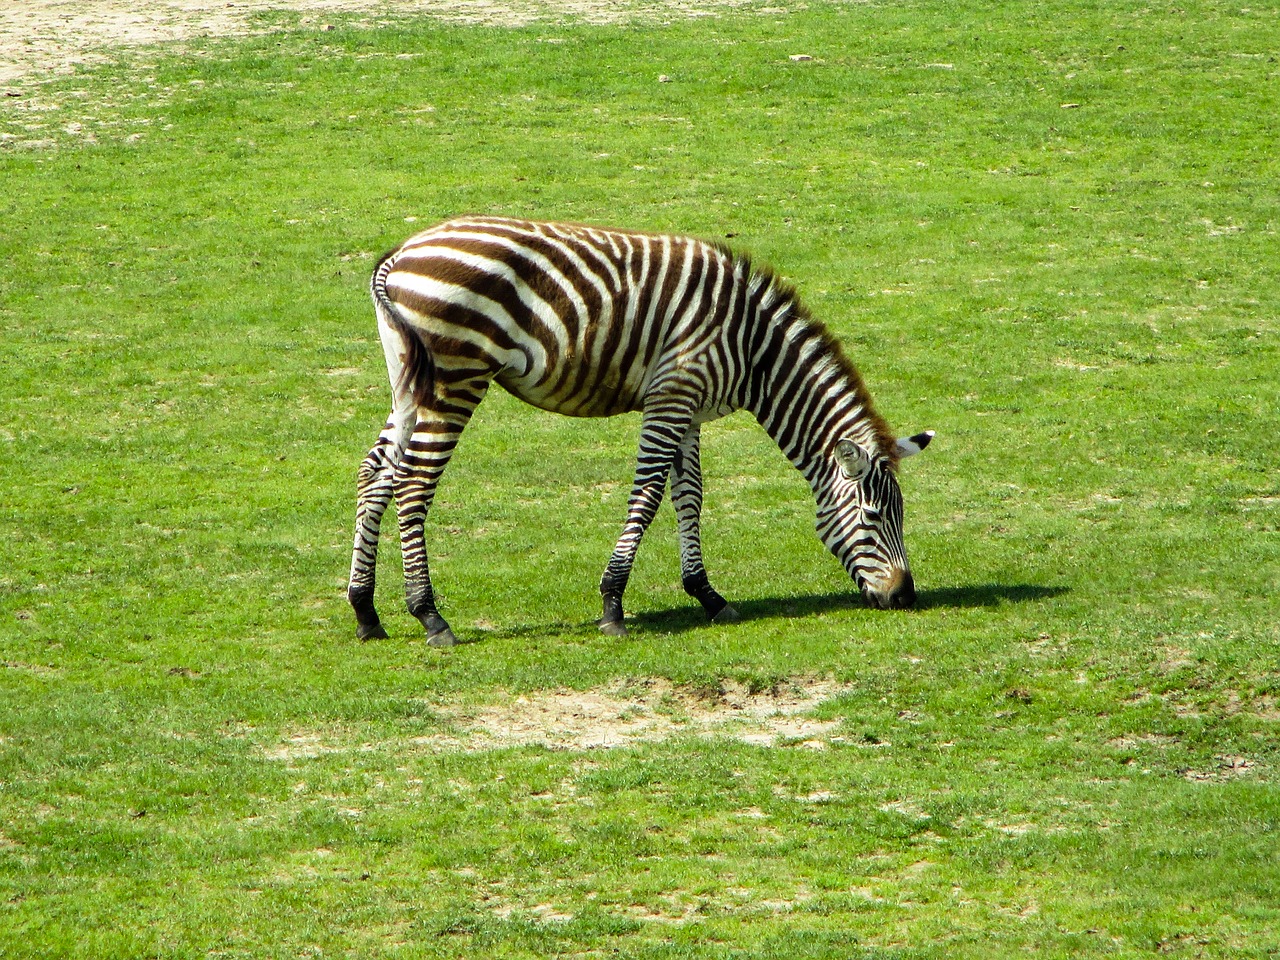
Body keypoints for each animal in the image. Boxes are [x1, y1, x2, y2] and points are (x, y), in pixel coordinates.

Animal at [345, 217, 936, 647]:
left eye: (901, 515)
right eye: (874, 517)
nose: (905, 597)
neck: (755, 350)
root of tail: (399, 257)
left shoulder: (690, 407)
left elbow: (690, 495)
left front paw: (707, 594)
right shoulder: (671, 395)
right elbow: (648, 496)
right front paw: (612, 605)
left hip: (409, 378)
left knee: (376, 473)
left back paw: (366, 611)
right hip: (457, 377)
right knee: (415, 484)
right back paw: (429, 616)